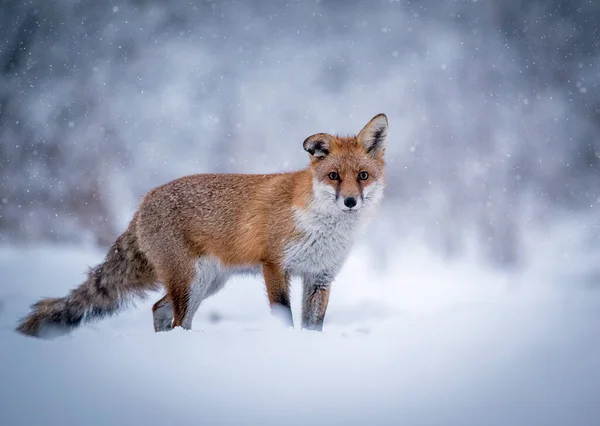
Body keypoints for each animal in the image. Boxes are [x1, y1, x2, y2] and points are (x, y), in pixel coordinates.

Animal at [16, 114, 390, 340]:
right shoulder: (274, 266)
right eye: (333, 176)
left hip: (207, 283)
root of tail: (142, 202)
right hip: (192, 282)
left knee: (160, 308)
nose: (350, 202)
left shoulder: (320, 276)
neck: (322, 228)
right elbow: (283, 316)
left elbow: (314, 326)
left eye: (362, 176)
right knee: (177, 318)